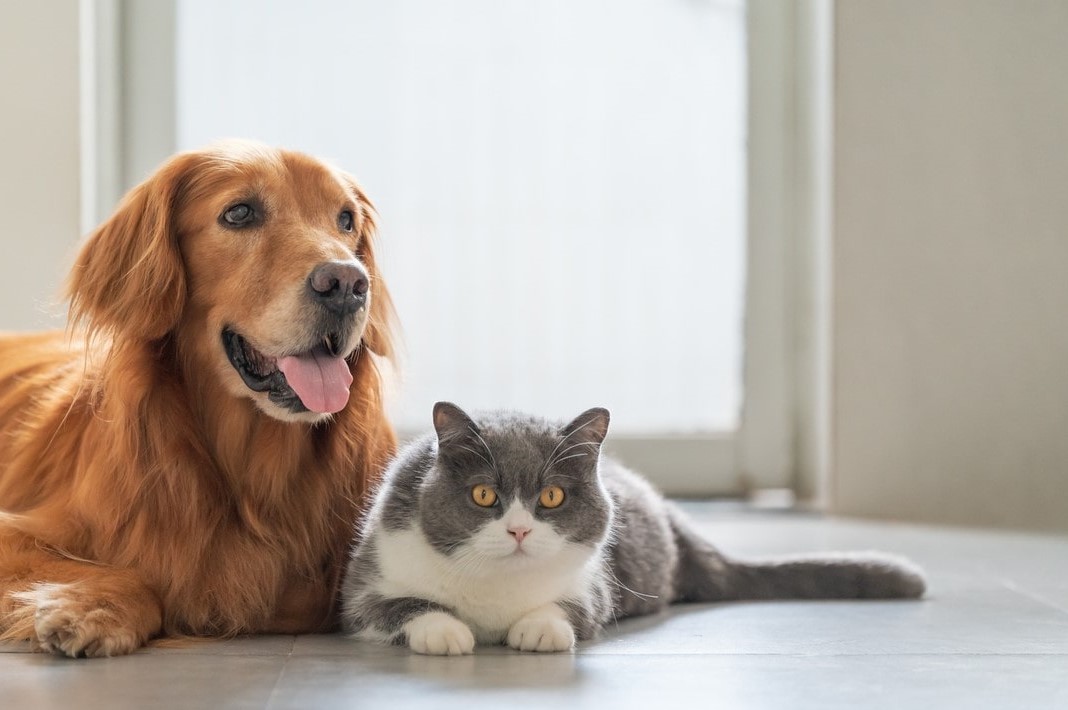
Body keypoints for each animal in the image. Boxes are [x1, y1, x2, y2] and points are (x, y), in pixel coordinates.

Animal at [341, 401, 927, 657]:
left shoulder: (595, 581)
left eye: (552, 497)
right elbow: (392, 607)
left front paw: (540, 628)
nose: (519, 532)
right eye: (484, 495)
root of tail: (676, 517)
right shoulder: (366, 579)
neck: (493, 594)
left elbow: (574, 607)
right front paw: (444, 630)